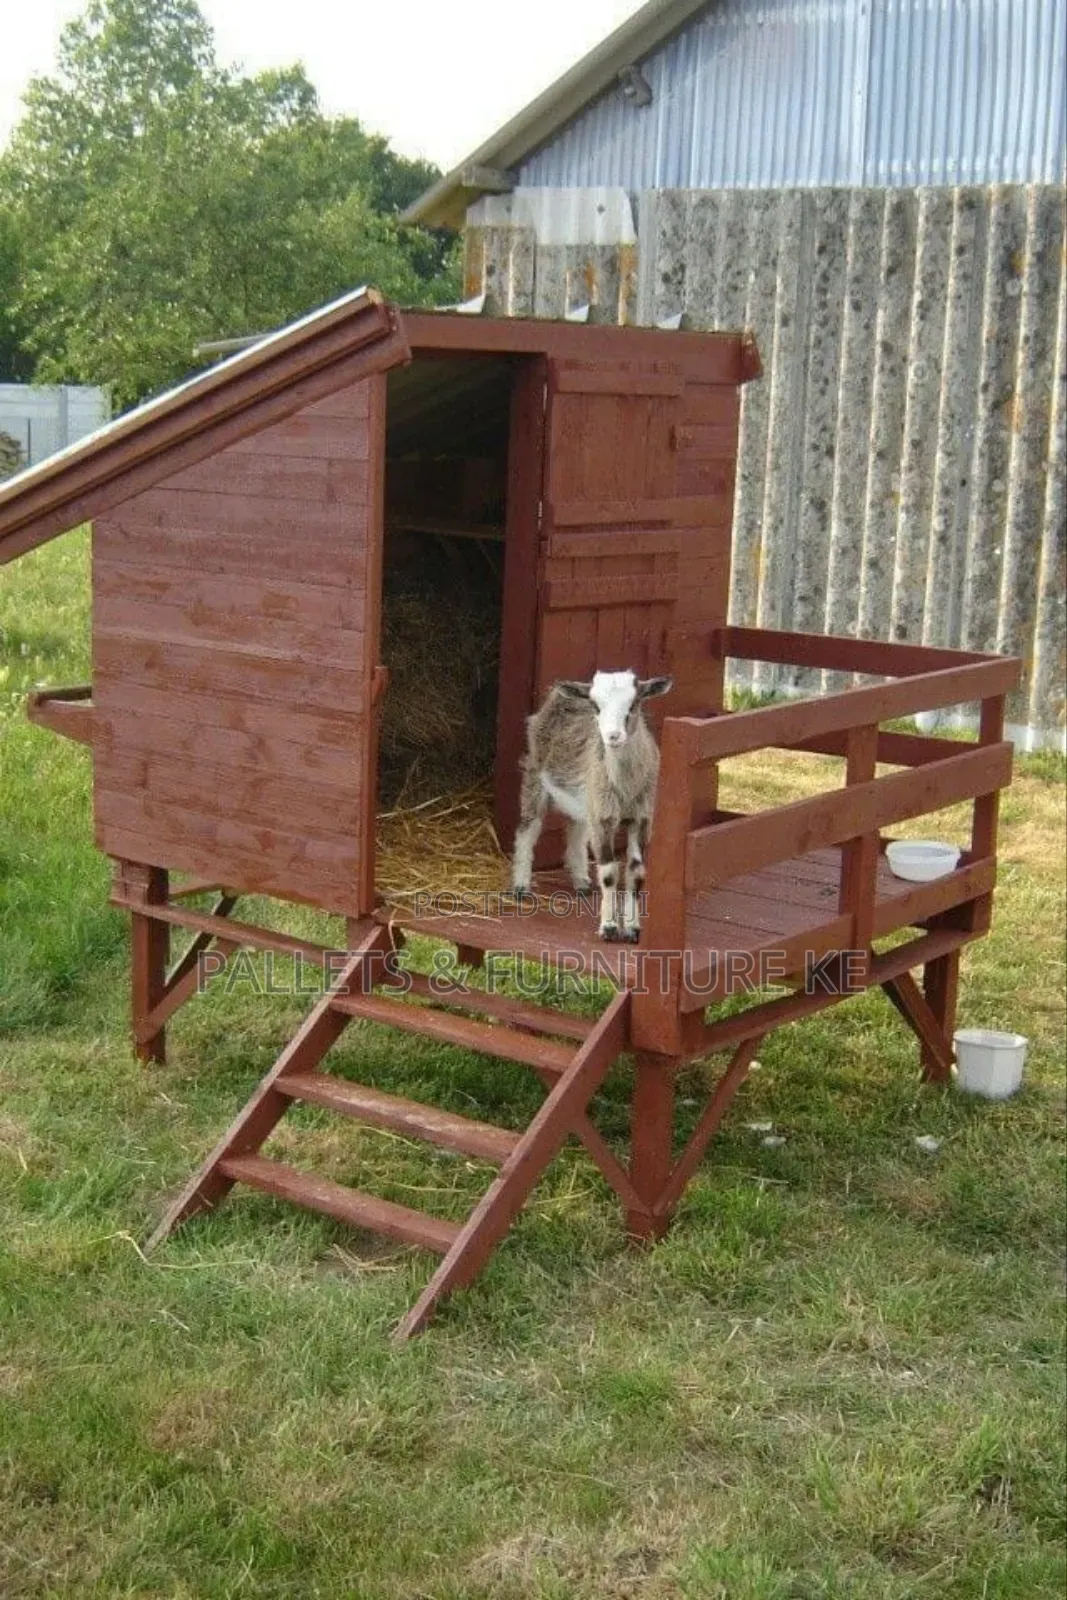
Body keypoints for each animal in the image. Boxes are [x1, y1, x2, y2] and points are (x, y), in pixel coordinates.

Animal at [511, 670, 673, 941]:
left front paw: (632, 929)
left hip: (588, 797)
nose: (613, 737)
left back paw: (581, 881)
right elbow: (608, 872)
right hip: (535, 773)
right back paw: (520, 886)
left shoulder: (641, 817)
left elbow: (636, 871)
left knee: (576, 831)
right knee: (527, 829)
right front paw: (608, 927)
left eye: (634, 703)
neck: (625, 787)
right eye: (597, 707)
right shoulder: (604, 818)